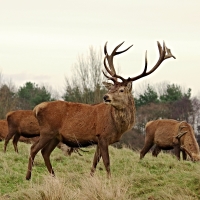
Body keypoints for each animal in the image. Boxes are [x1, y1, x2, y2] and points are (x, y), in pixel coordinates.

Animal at [25, 40, 176, 180]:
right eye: (111, 88)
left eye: (121, 90)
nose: (106, 96)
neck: (117, 126)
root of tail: (36, 109)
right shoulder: (103, 136)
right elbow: (107, 162)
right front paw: (109, 180)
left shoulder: (99, 139)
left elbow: (95, 161)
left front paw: (90, 178)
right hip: (47, 131)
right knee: (33, 149)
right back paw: (28, 176)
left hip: (56, 136)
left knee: (45, 152)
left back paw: (54, 176)